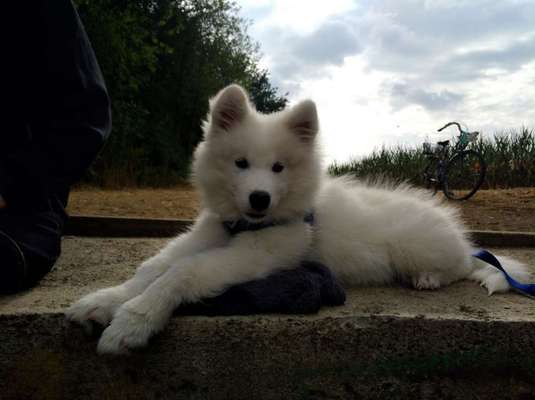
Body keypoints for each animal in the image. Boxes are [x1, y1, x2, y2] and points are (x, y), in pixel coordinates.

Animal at [66, 83, 528, 354]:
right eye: (241, 163)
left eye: (278, 168)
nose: (259, 198)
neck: (248, 224)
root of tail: (460, 235)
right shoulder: (209, 234)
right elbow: (153, 267)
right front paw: (102, 301)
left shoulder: (257, 253)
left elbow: (182, 272)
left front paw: (132, 322)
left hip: (414, 245)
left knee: (461, 267)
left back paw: (428, 278)